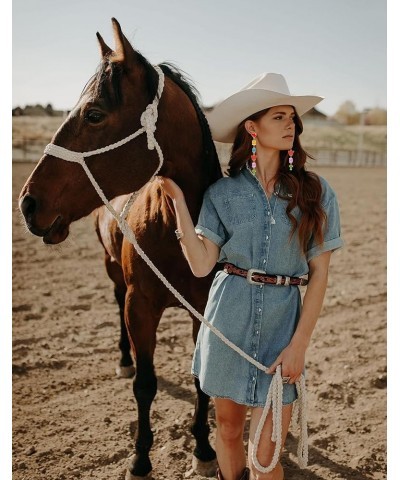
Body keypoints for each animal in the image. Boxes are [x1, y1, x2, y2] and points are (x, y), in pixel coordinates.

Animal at [18, 16, 222, 478]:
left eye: (94, 114)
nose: (28, 203)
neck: (179, 231)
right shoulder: (139, 304)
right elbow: (145, 385)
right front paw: (140, 458)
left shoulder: (203, 309)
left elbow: (201, 379)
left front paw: (204, 449)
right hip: (112, 272)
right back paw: (124, 357)